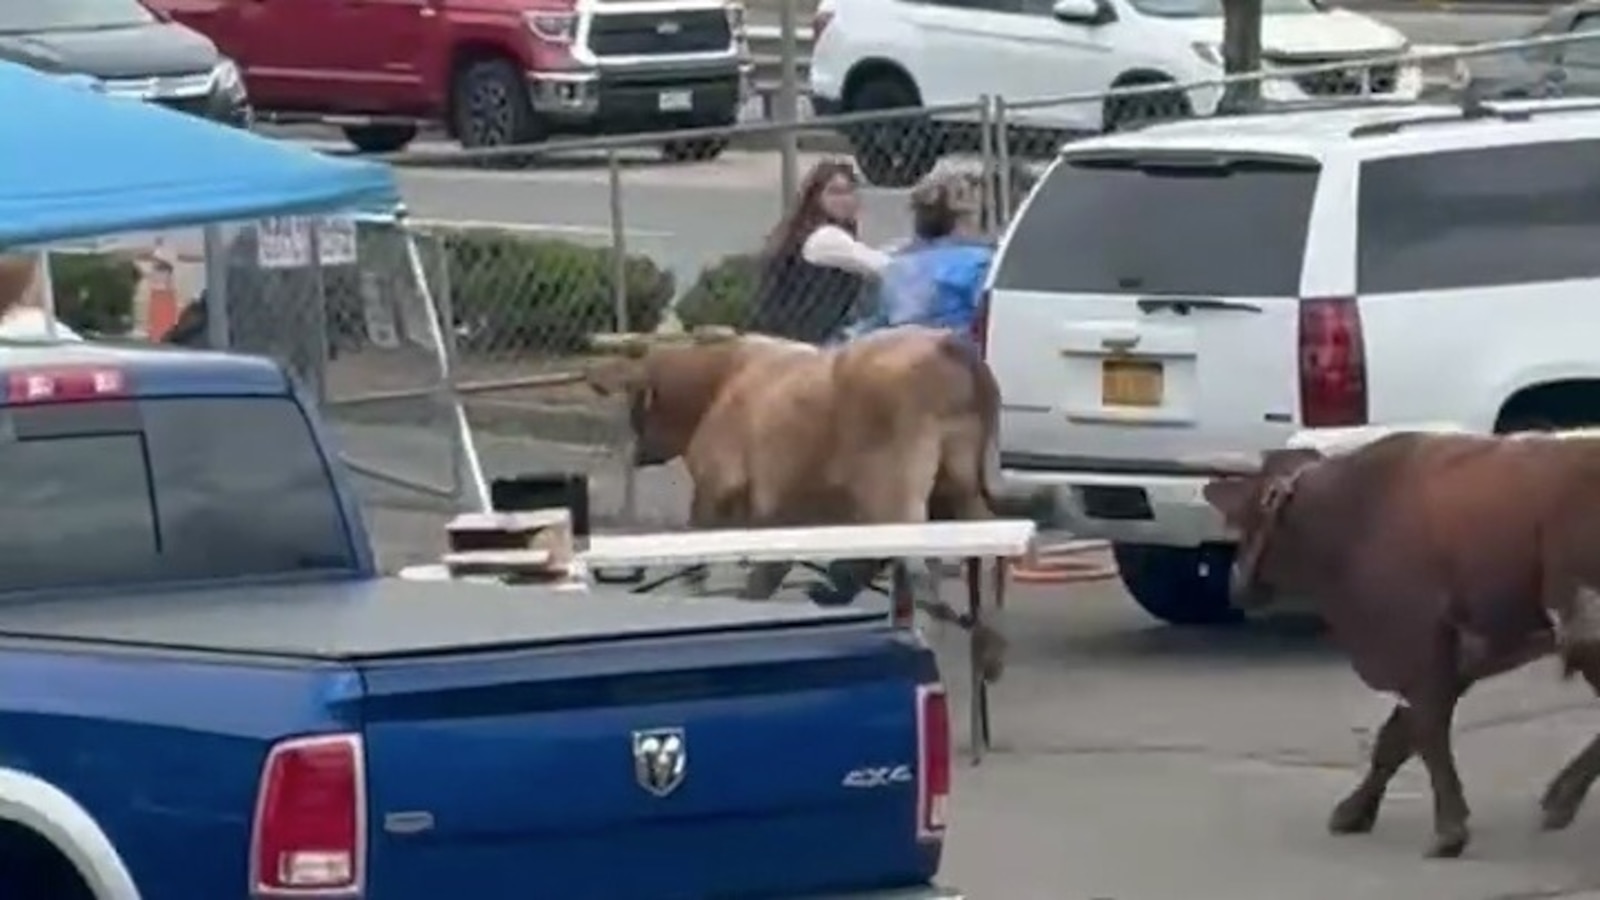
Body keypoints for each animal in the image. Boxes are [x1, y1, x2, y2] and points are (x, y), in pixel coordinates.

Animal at [592, 325, 998, 669]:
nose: (634, 452)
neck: (719, 381)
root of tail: (949, 347)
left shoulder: (714, 497)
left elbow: (702, 569)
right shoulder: (783, 515)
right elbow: (765, 575)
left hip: (896, 498)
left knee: (920, 571)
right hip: (959, 495)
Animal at [1203, 432, 1600, 858]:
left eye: (1245, 519)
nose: (1235, 586)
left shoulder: (1416, 649)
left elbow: (1424, 733)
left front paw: (1449, 830)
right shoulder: (1452, 661)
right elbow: (1394, 738)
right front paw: (1355, 810)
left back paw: (1561, 798)